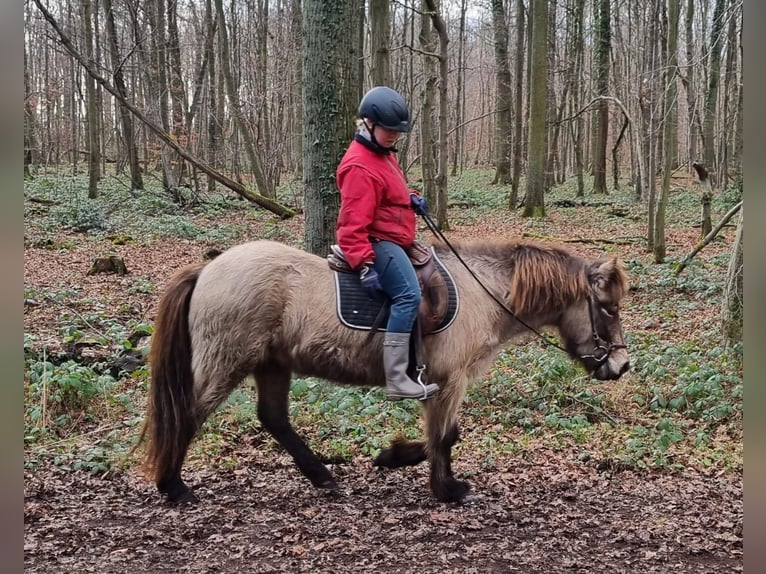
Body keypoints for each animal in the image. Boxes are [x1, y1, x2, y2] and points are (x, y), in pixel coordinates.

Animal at [138, 238, 632, 504]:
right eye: (608, 308)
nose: (623, 365)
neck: (481, 291)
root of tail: (208, 269)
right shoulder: (449, 380)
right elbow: (445, 436)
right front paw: (446, 488)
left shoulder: (443, 383)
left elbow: (444, 435)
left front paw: (392, 457)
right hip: (227, 361)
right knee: (188, 414)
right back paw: (173, 485)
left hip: (272, 363)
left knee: (274, 419)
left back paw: (322, 476)